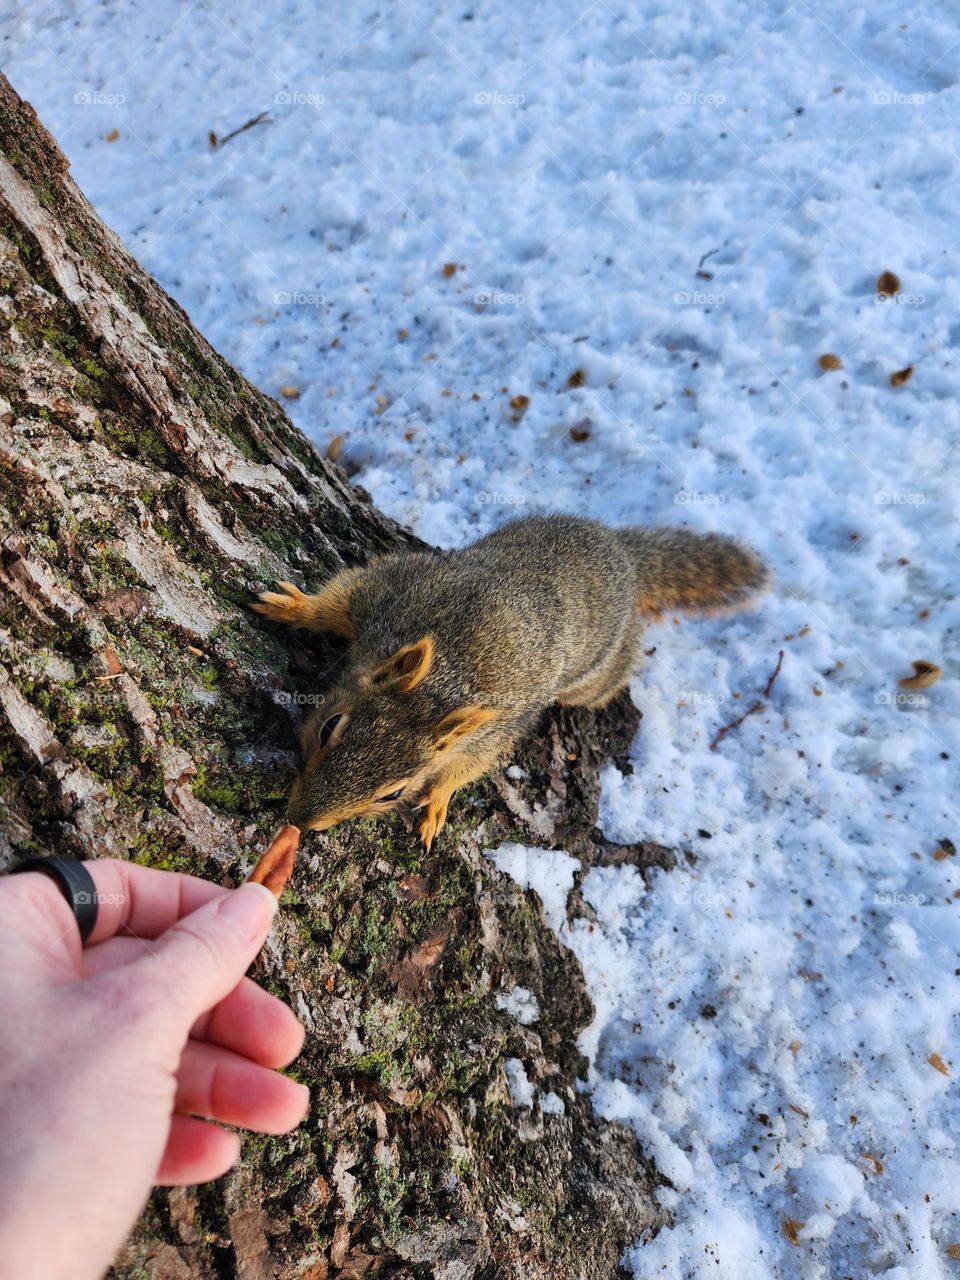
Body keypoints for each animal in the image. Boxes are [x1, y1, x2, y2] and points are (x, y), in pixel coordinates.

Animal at [252, 513, 770, 849]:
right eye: (328, 727)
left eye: (392, 794)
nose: (299, 819)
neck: (451, 674)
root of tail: (626, 560)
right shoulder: (395, 592)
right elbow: (340, 597)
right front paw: (293, 607)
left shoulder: (493, 730)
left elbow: (468, 766)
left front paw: (437, 802)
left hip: (596, 676)